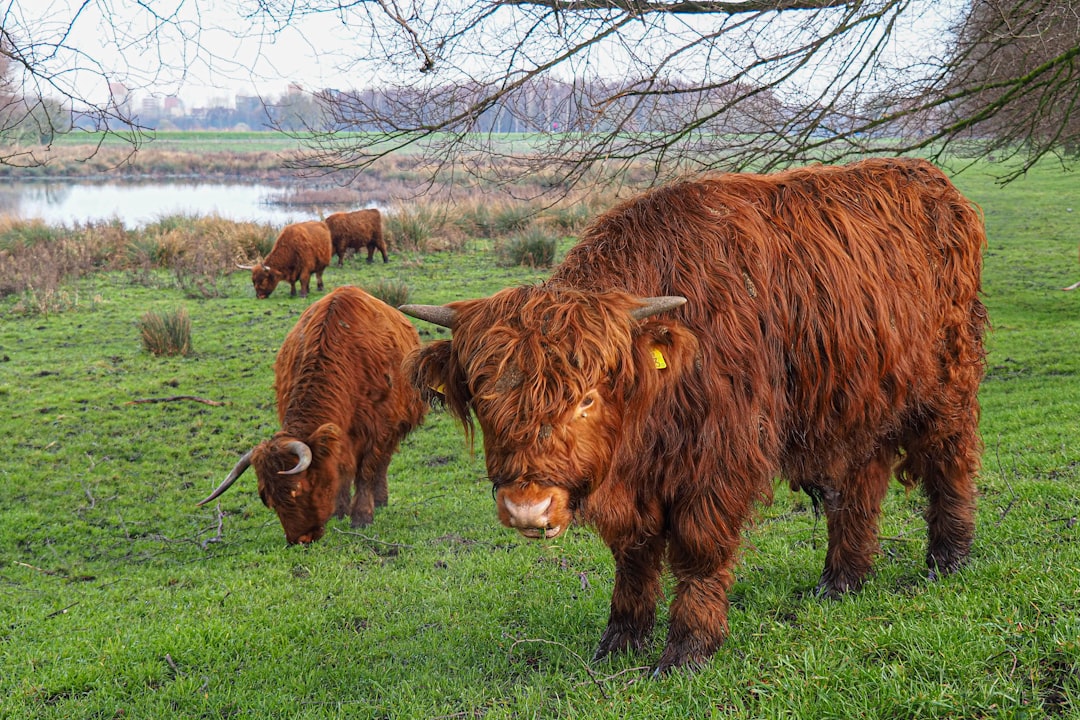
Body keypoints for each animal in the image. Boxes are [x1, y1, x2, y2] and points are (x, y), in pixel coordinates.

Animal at [198, 284, 425, 544]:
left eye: (298, 489)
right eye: (268, 499)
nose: (300, 540)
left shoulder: (379, 428)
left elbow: (366, 470)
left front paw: (361, 517)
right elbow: (341, 469)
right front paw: (339, 510)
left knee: (381, 464)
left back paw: (380, 500)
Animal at [403, 158, 989, 677]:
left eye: (587, 398)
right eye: (483, 398)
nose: (527, 508)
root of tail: (933, 182)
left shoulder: (720, 457)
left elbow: (699, 550)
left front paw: (688, 649)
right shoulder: (637, 482)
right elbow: (634, 558)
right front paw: (620, 640)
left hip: (946, 384)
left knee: (950, 461)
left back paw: (948, 560)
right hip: (858, 401)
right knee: (859, 485)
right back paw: (842, 581)